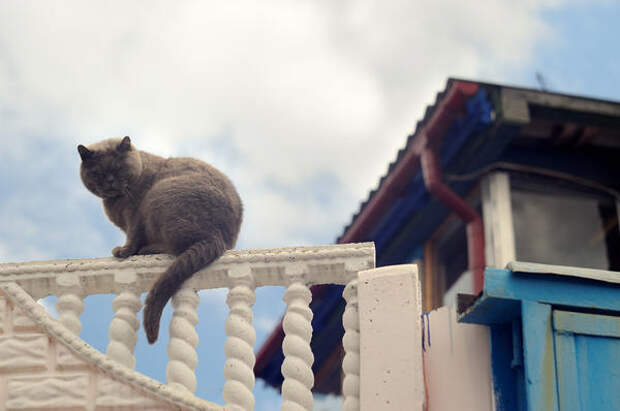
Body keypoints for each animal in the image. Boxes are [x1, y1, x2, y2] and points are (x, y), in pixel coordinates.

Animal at [77, 138, 242, 344]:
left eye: (118, 167)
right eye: (97, 172)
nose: (110, 180)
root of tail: (218, 238)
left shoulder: (135, 215)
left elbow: (132, 237)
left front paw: (123, 252)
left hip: (159, 193)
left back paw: (148, 249)